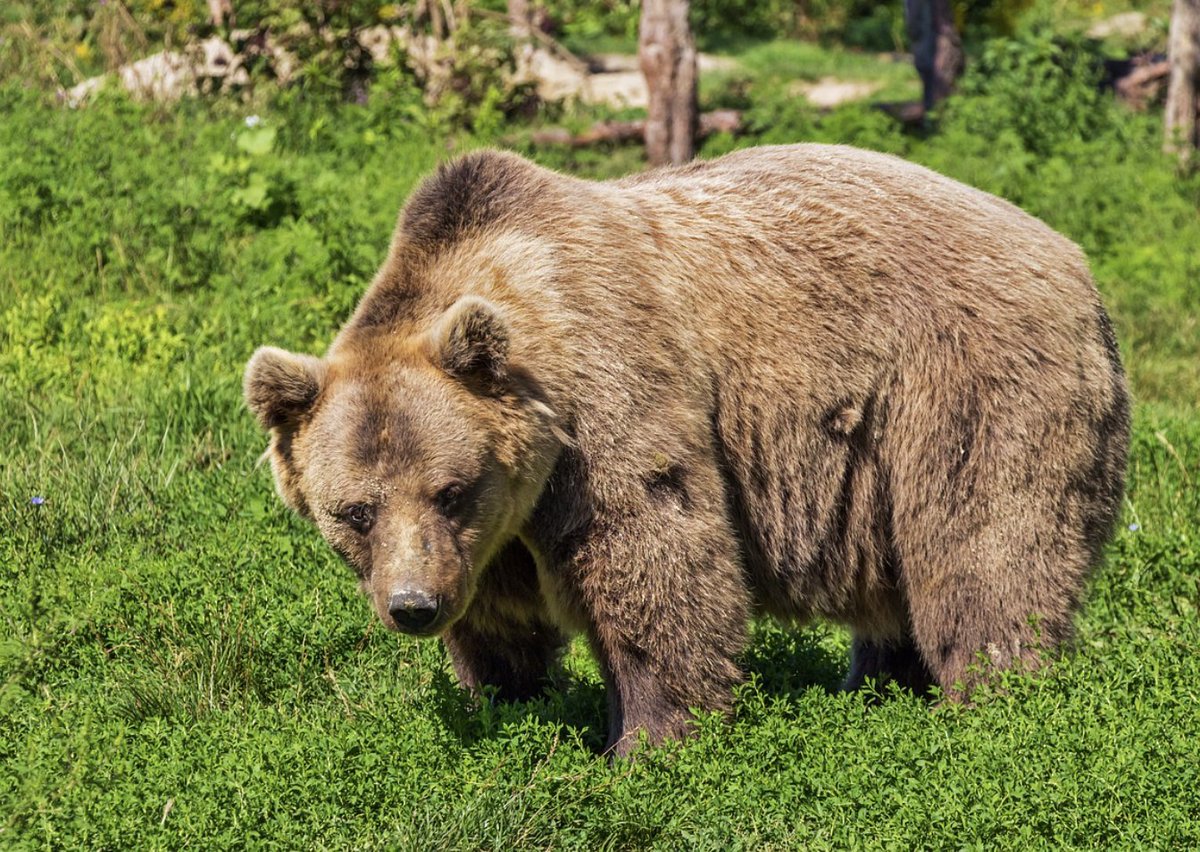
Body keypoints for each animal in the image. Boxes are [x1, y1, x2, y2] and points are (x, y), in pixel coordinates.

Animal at [244, 144, 1130, 755]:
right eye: (354, 511)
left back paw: (993, 700)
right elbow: (499, 620)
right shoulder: (492, 534)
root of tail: (1075, 261)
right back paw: (877, 686)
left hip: (963, 387)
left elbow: (654, 558)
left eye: (450, 488)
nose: (413, 607)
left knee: (984, 548)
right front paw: (508, 701)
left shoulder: (606, 404)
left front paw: (647, 741)